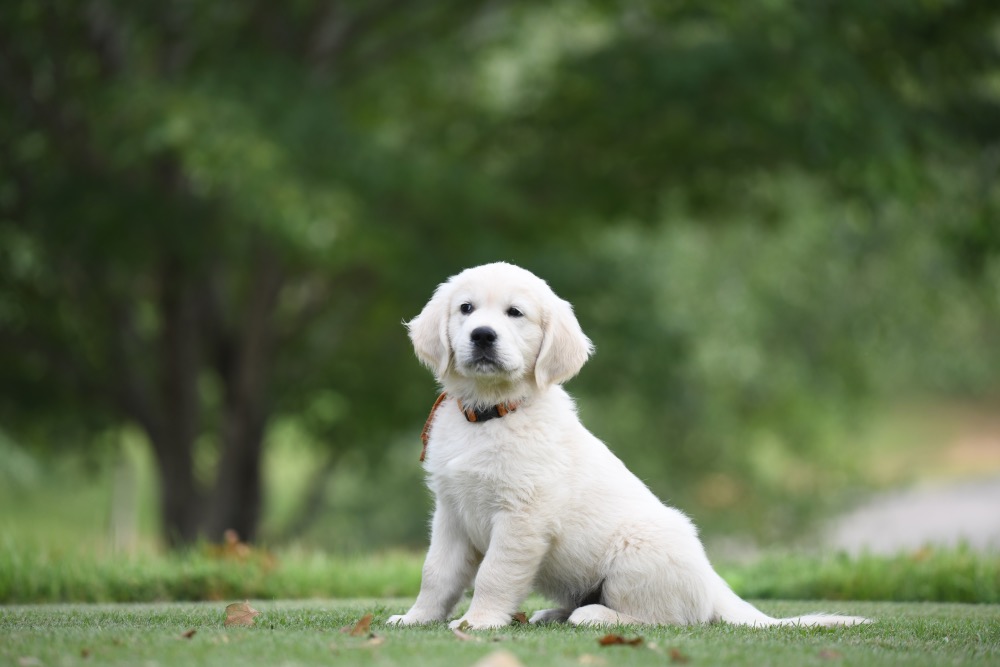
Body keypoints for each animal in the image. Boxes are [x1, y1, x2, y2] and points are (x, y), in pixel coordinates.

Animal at [388, 262, 868, 632]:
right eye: (466, 309)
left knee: (667, 618)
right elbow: (436, 572)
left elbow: (494, 574)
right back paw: (555, 613)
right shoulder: (451, 512)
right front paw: (416, 618)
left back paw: (594, 617)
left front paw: (477, 621)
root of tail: (714, 583)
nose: (483, 335)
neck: (492, 412)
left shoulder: (521, 517)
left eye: (515, 313)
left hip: (635, 555)